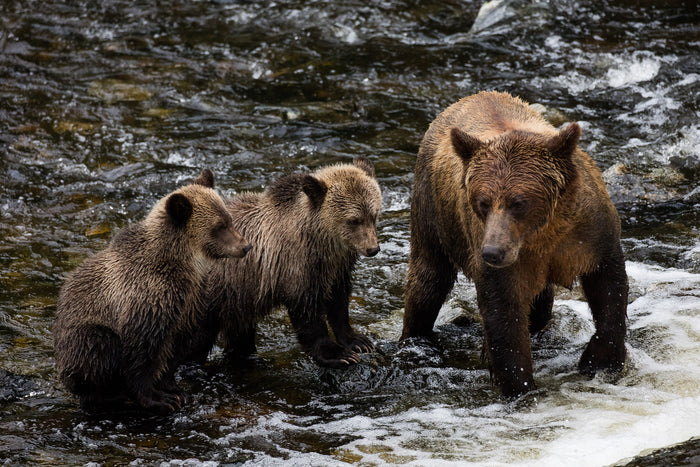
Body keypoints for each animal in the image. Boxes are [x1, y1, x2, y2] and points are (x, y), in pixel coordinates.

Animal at [53, 169, 251, 414]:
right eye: (219, 226)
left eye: (229, 219)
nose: (245, 246)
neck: (185, 264)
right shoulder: (148, 300)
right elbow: (141, 354)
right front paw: (160, 399)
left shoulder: (190, 304)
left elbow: (174, 350)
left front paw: (174, 389)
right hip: (82, 337)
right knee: (97, 349)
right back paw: (110, 395)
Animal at [191, 157, 382, 368]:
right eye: (354, 220)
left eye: (373, 214)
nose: (373, 249)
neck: (324, 243)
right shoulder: (295, 265)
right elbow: (307, 312)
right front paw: (336, 353)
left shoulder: (337, 268)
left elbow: (338, 302)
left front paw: (359, 341)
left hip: (234, 300)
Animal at [401, 91, 628, 397]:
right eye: (482, 202)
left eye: (518, 203)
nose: (492, 252)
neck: (543, 235)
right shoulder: (501, 256)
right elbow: (503, 313)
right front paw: (520, 385)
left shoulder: (590, 234)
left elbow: (609, 287)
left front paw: (600, 360)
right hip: (433, 213)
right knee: (428, 280)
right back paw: (415, 340)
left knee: (540, 305)